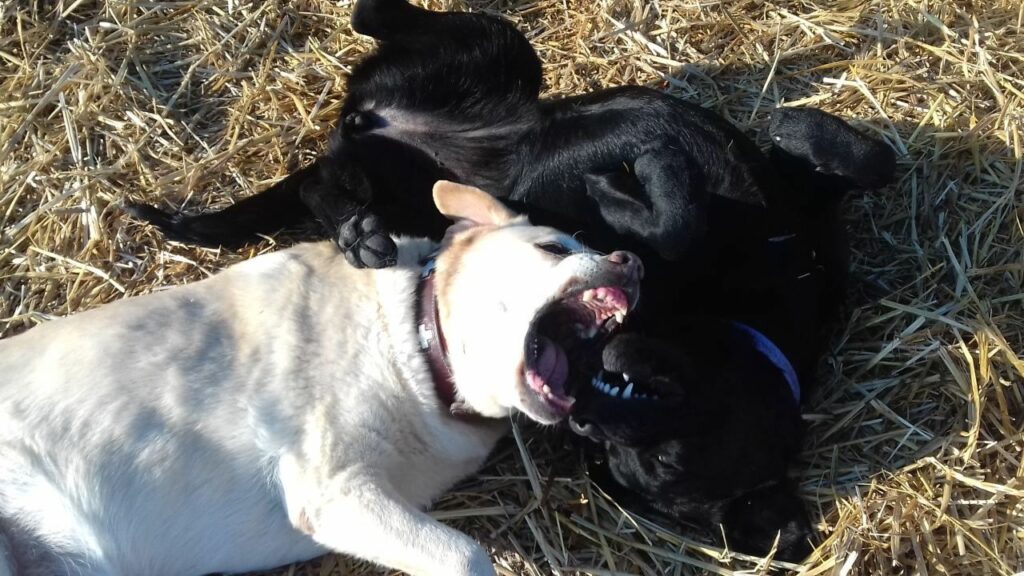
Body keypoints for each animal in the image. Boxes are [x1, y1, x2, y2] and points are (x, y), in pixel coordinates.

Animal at [130, 0, 897, 561]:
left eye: (647, 461)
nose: (586, 409)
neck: (743, 311)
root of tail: (366, 127)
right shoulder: (803, 203)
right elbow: (867, 156)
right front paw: (733, 144)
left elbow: (674, 224)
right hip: (500, 53)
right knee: (392, 24)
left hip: (400, 158)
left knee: (326, 184)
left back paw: (355, 225)